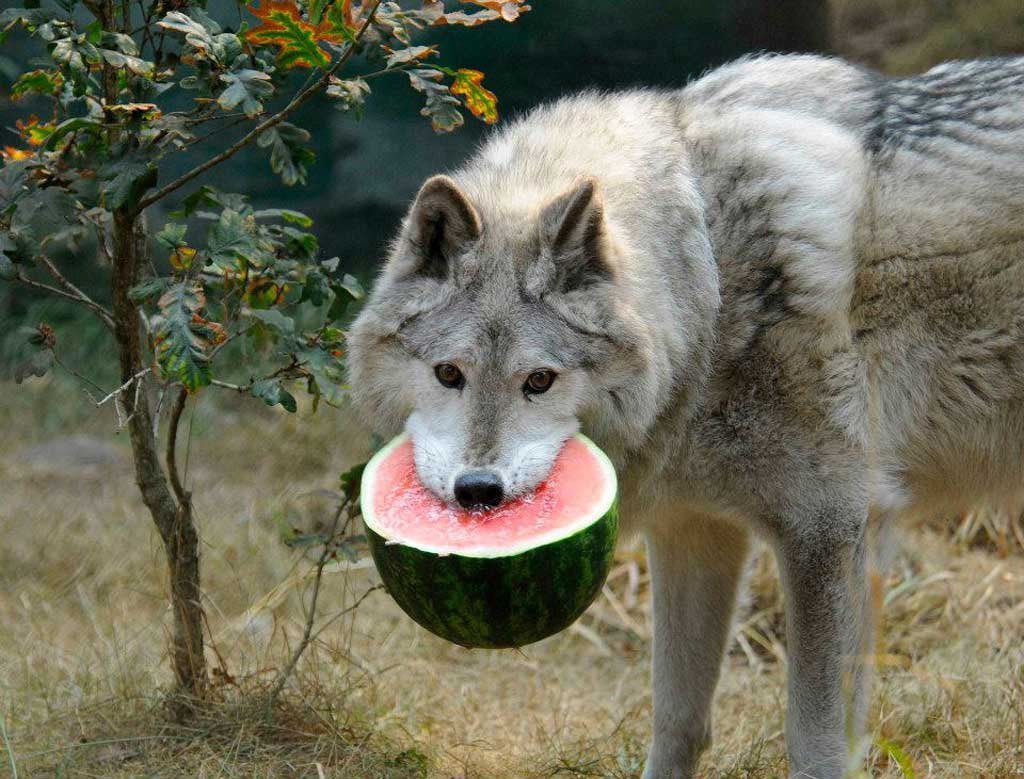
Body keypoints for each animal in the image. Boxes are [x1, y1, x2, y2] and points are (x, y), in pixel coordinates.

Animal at [347, 53, 1024, 778]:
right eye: (449, 374)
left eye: (539, 381)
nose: (479, 492)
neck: (710, 283)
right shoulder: (693, 529)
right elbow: (678, 719)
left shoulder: (828, 530)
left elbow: (815, 741)